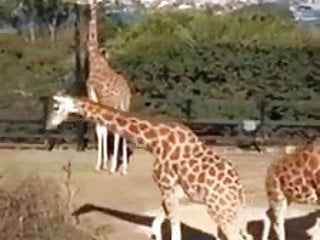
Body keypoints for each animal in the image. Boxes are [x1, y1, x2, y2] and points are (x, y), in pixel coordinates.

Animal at [45, 93, 252, 240]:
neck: (154, 142)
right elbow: (155, 226)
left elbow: (174, 231)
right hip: (230, 211)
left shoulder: (166, 184)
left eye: (56, 106)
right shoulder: (171, 190)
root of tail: (239, 190)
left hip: (219, 210)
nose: (48, 125)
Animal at [84, 0, 132, 173]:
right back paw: (123, 169)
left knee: (115, 129)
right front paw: (105, 162)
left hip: (114, 105)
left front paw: (100, 164)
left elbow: (100, 129)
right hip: (125, 106)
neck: (93, 57)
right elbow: (103, 129)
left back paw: (113, 168)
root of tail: (124, 93)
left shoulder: (92, 93)